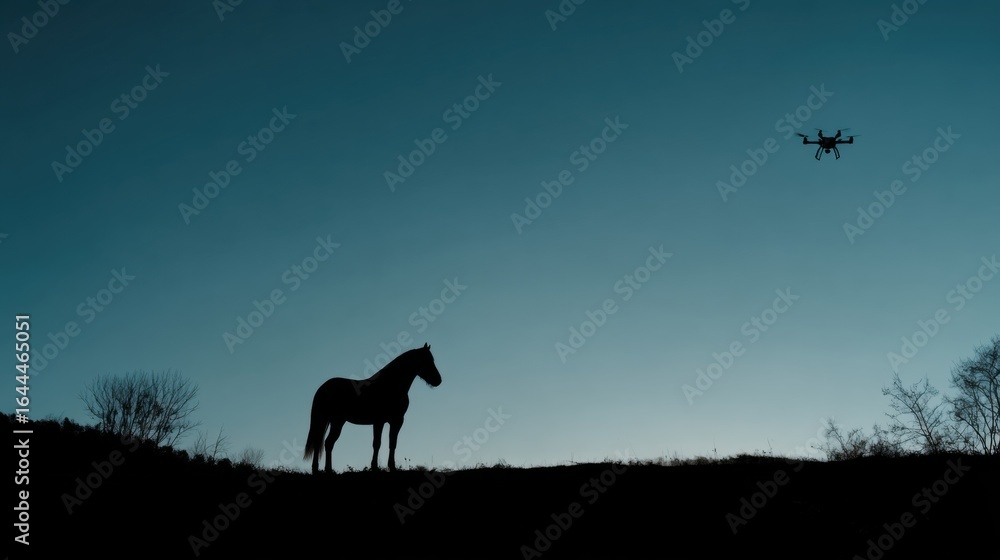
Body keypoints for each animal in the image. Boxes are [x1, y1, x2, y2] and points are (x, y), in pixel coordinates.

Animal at [304, 343, 442, 474]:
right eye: (427, 360)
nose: (438, 380)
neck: (391, 385)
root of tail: (323, 388)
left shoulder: (394, 421)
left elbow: (392, 443)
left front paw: (390, 467)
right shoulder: (382, 421)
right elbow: (377, 443)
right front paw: (377, 467)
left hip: (332, 421)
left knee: (324, 443)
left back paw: (320, 469)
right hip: (336, 421)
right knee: (326, 443)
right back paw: (325, 469)